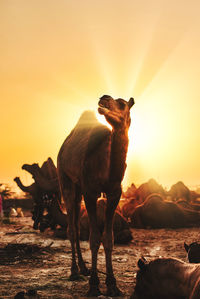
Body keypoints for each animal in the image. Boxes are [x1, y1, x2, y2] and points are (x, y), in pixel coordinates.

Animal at [56, 95, 134, 296]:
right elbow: (93, 238)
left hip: (78, 188)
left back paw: (84, 268)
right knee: (72, 228)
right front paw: (94, 285)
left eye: (122, 103)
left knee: (76, 224)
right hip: (65, 179)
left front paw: (113, 284)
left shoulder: (115, 193)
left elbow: (108, 238)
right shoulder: (90, 192)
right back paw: (74, 271)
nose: (104, 98)